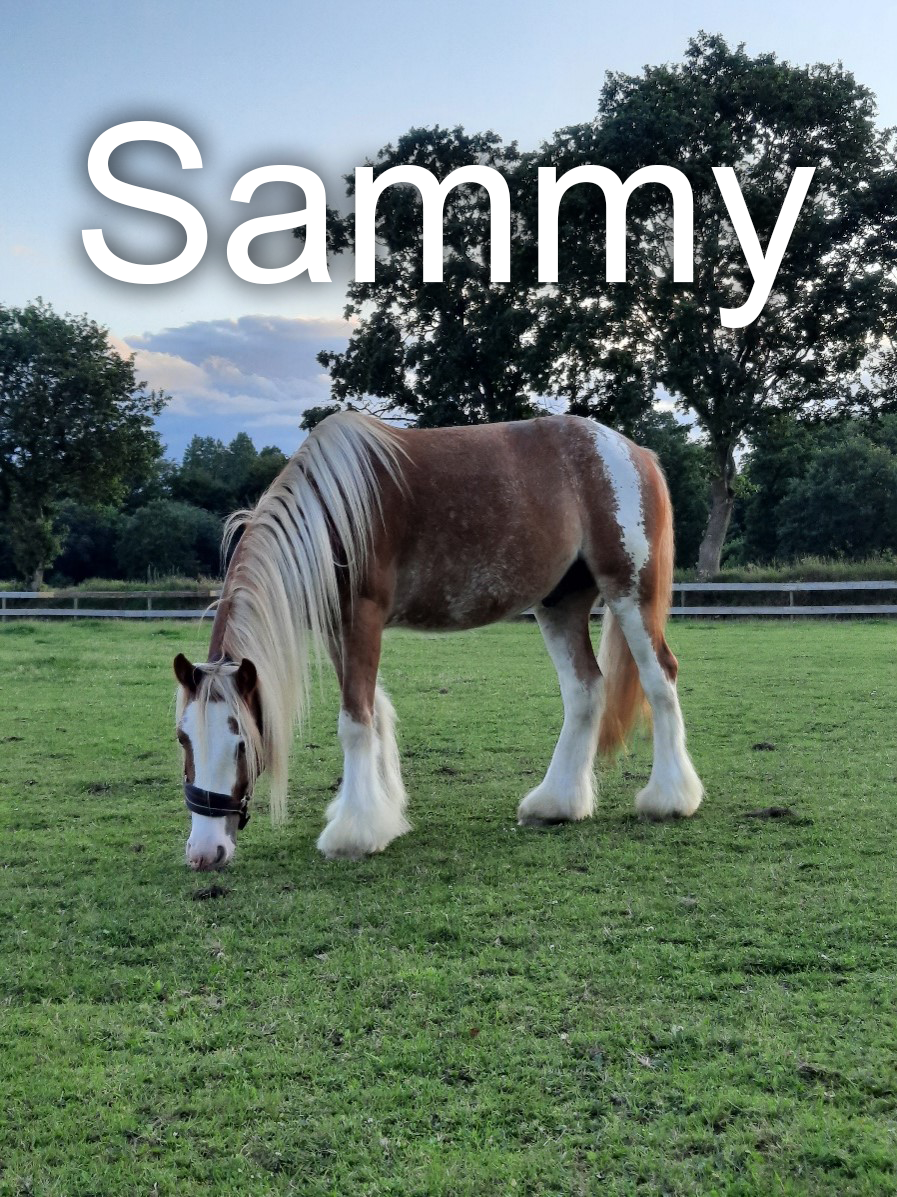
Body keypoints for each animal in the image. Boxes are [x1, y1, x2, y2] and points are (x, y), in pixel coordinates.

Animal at [173, 411, 703, 870]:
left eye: (241, 743)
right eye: (183, 738)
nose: (204, 852)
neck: (331, 515)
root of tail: (634, 452)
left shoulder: (362, 619)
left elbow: (356, 723)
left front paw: (353, 833)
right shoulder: (338, 630)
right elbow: (375, 714)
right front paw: (381, 814)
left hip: (629, 591)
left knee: (661, 679)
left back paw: (670, 799)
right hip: (560, 603)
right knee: (585, 690)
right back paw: (556, 804)